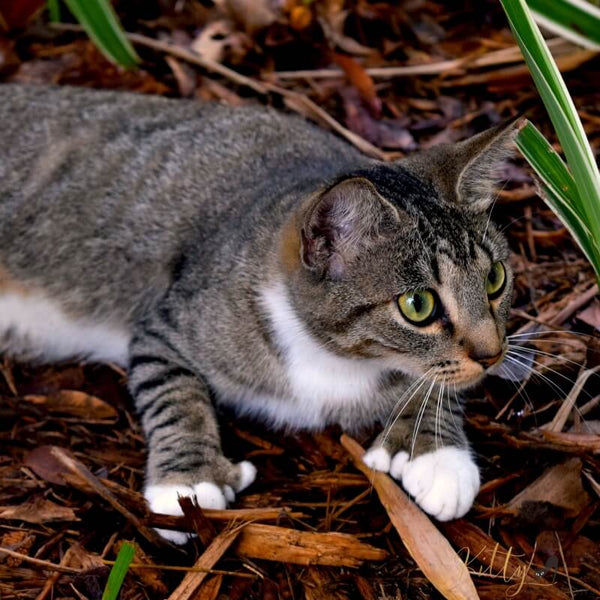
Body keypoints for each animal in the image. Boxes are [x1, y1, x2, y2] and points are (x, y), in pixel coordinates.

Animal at [0, 83, 516, 544]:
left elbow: (440, 380)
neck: (333, 359)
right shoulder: (163, 330)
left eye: (495, 279)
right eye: (419, 306)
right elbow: (174, 393)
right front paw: (189, 483)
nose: (492, 354)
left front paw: (437, 452)